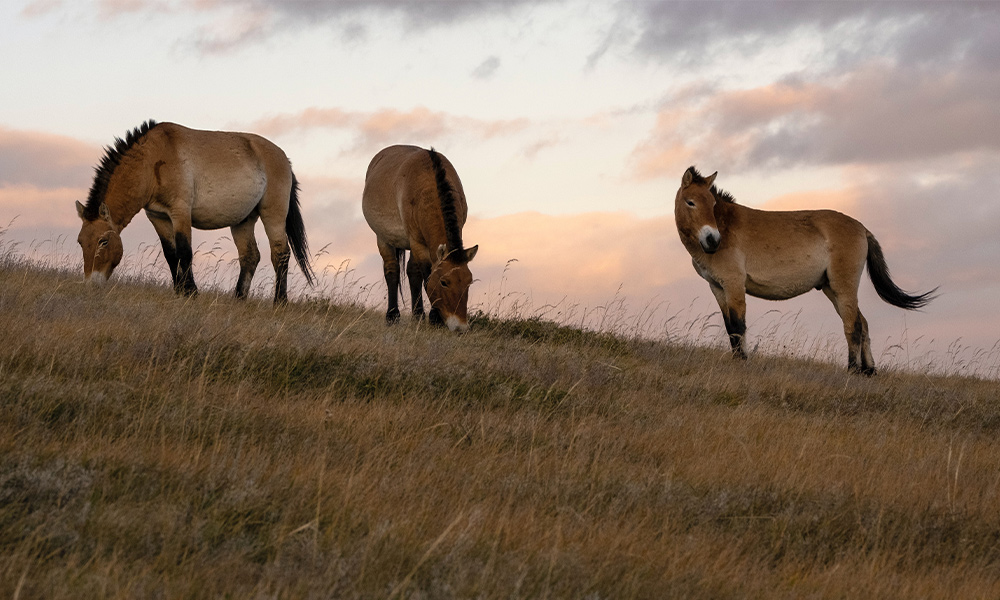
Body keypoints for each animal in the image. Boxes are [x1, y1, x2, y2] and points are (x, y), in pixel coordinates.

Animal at [74, 119, 314, 302]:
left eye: (103, 241)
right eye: (81, 242)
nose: (91, 284)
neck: (153, 161)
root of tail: (285, 159)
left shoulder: (180, 213)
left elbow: (184, 252)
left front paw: (191, 292)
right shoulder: (158, 217)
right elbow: (171, 255)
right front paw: (179, 291)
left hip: (273, 215)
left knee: (280, 254)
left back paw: (280, 301)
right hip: (243, 220)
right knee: (250, 256)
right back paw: (238, 299)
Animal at [364, 145, 480, 332]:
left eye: (469, 282)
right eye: (444, 282)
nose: (460, 327)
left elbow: (418, 274)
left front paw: (425, 316)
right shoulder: (417, 242)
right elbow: (427, 276)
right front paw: (435, 318)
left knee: (412, 271)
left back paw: (417, 315)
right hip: (383, 239)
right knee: (392, 271)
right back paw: (392, 316)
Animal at [676, 165, 932, 376]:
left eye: (712, 204)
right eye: (691, 202)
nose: (712, 240)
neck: (726, 227)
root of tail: (862, 228)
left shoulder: (734, 285)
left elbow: (739, 326)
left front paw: (743, 362)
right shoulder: (718, 288)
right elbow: (730, 327)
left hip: (843, 287)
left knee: (853, 325)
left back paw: (852, 370)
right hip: (831, 289)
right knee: (863, 323)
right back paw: (869, 371)